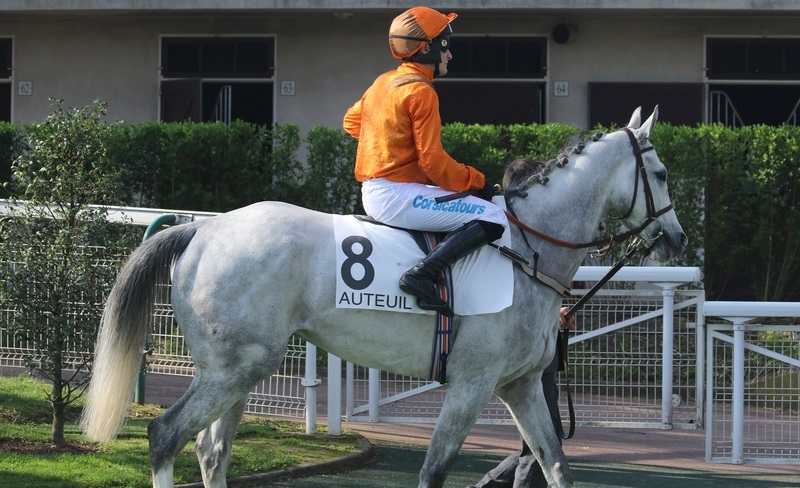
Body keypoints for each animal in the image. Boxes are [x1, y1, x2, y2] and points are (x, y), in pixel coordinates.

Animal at [81, 107, 688, 488]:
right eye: (660, 172)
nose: (677, 238)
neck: (528, 248)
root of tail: (201, 230)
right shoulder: (472, 384)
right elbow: (434, 471)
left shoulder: (520, 385)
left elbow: (557, 465)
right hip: (232, 368)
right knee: (165, 435)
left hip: (240, 370)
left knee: (211, 453)